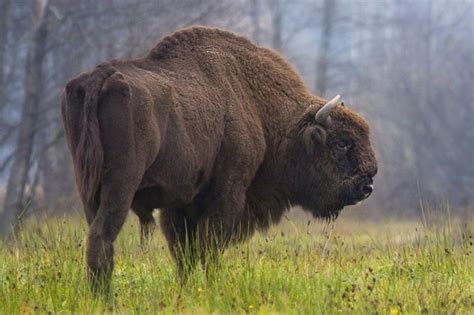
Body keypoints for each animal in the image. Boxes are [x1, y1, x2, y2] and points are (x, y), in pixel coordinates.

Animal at [60, 27, 378, 292]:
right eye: (342, 143)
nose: (367, 185)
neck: (260, 109)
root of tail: (100, 77)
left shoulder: (179, 205)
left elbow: (185, 254)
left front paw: (187, 291)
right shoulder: (226, 194)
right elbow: (208, 249)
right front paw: (213, 288)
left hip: (88, 188)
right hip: (121, 185)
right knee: (102, 236)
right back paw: (105, 298)